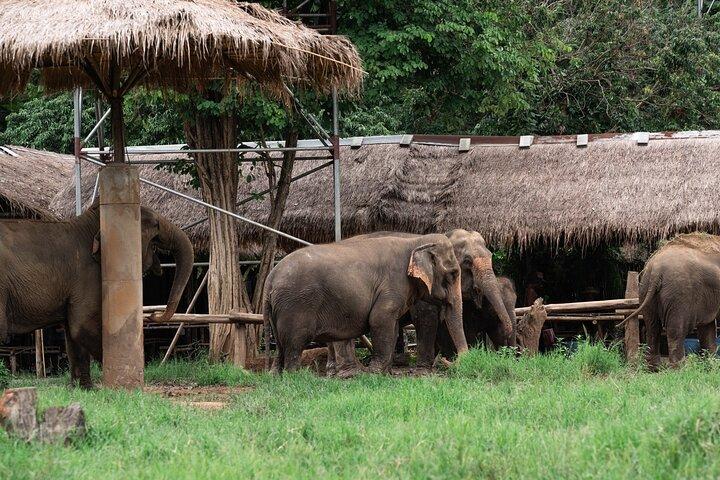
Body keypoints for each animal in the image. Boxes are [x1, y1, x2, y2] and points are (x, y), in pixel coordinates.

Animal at [0, 203, 194, 388]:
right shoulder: (88, 275)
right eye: (155, 224)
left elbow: (72, 333)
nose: (154, 314)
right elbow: (82, 325)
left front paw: (85, 389)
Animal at [263, 234, 468, 374]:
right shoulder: (392, 284)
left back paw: (276, 376)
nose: (447, 360)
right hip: (295, 306)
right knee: (294, 343)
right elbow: (380, 319)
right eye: (453, 274)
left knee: (281, 347)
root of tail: (270, 278)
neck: (415, 241)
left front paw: (385, 372)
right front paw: (375, 372)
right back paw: (295, 376)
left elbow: (393, 326)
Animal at [621, 233, 720, 369]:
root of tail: (656, 269)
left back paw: (654, 368)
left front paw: (711, 366)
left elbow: (707, 327)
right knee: (676, 329)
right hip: (679, 293)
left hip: (645, 288)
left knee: (652, 327)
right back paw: (680, 368)